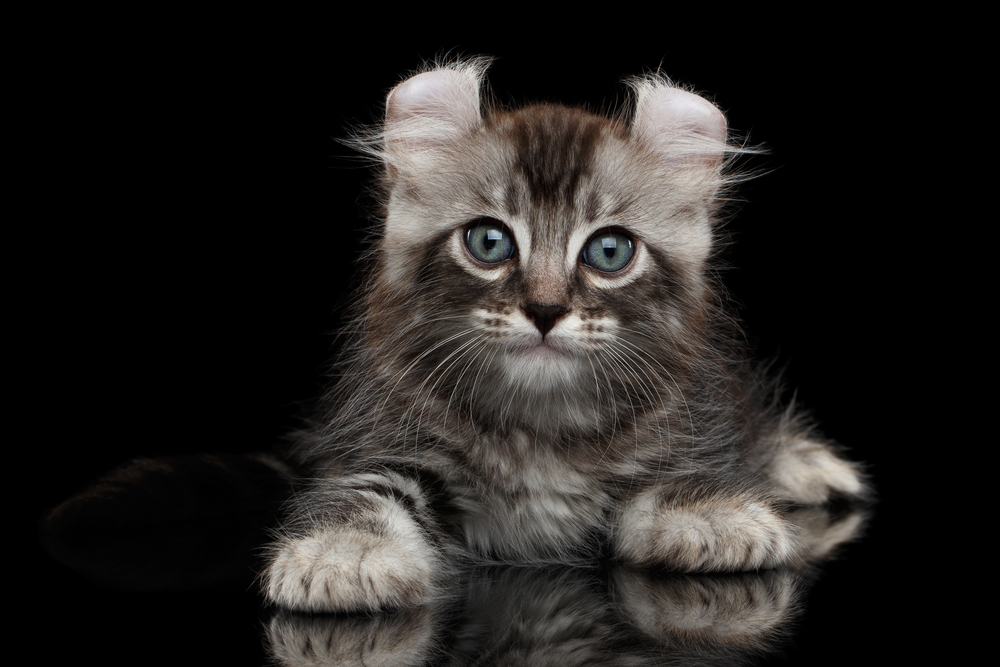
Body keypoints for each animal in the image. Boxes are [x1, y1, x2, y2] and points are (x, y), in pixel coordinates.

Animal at [262, 60, 872, 612]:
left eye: (609, 250)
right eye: (488, 242)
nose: (546, 310)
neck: (539, 430)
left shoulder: (686, 418)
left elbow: (680, 472)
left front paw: (709, 512)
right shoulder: (380, 435)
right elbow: (362, 493)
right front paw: (344, 551)